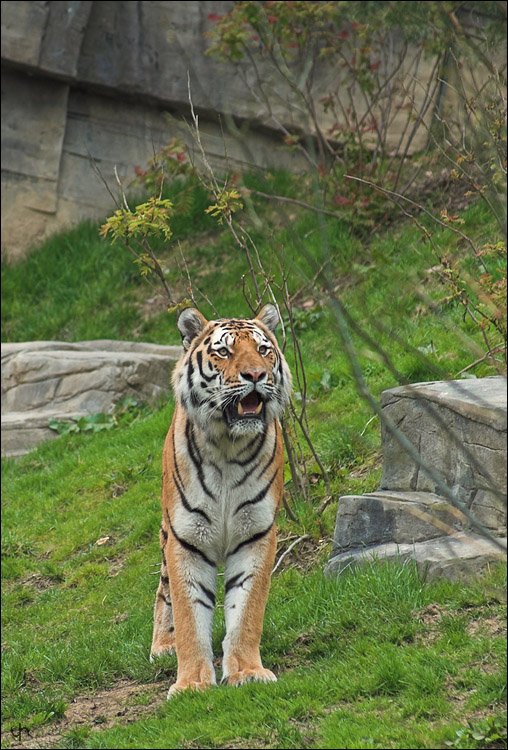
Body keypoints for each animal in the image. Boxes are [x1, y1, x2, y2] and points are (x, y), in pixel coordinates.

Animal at [151, 304, 292, 700]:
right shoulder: (185, 538)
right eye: (224, 352)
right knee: (163, 590)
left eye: (263, 350)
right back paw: (163, 646)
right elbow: (189, 615)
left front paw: (247, 671)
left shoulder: (256, 533)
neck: (229, 448)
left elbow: (247, 610)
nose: (256, 375)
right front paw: (191, 684)